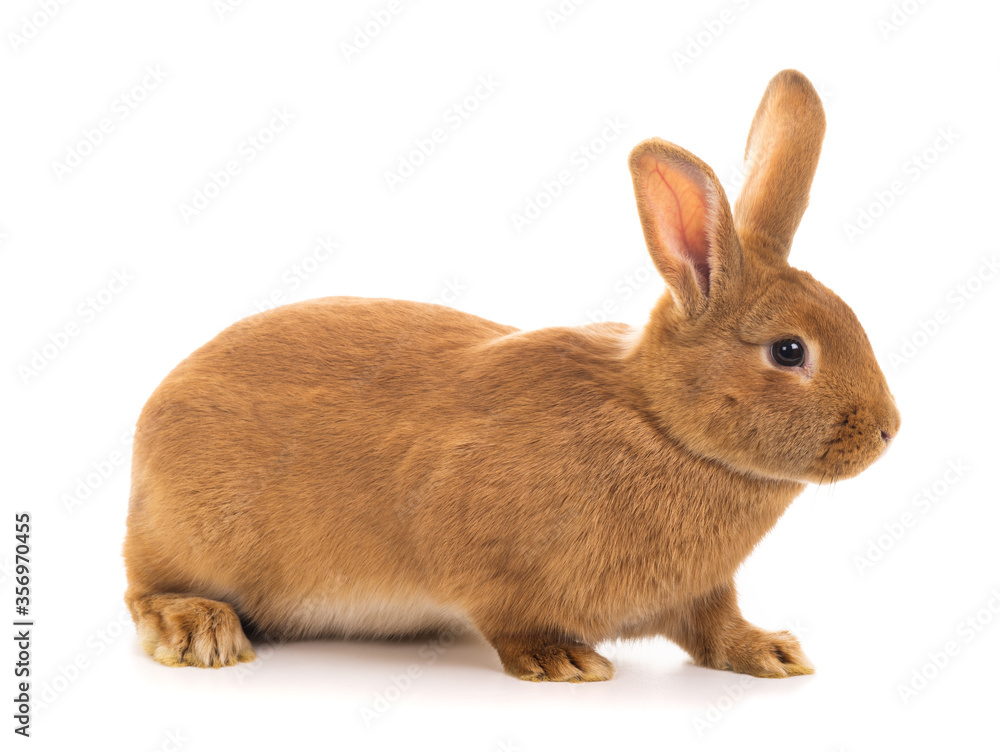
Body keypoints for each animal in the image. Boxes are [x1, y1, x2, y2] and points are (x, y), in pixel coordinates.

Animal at [123, 69, 900, 681]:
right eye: (789, 351)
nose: (889, 430)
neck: (661, 423)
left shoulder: (701, 594)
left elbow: (715, 626)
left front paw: (772, 652)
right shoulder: (478, 557)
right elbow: (511, 618)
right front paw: (564, 661)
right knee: (142, 591)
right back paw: (201, 632)